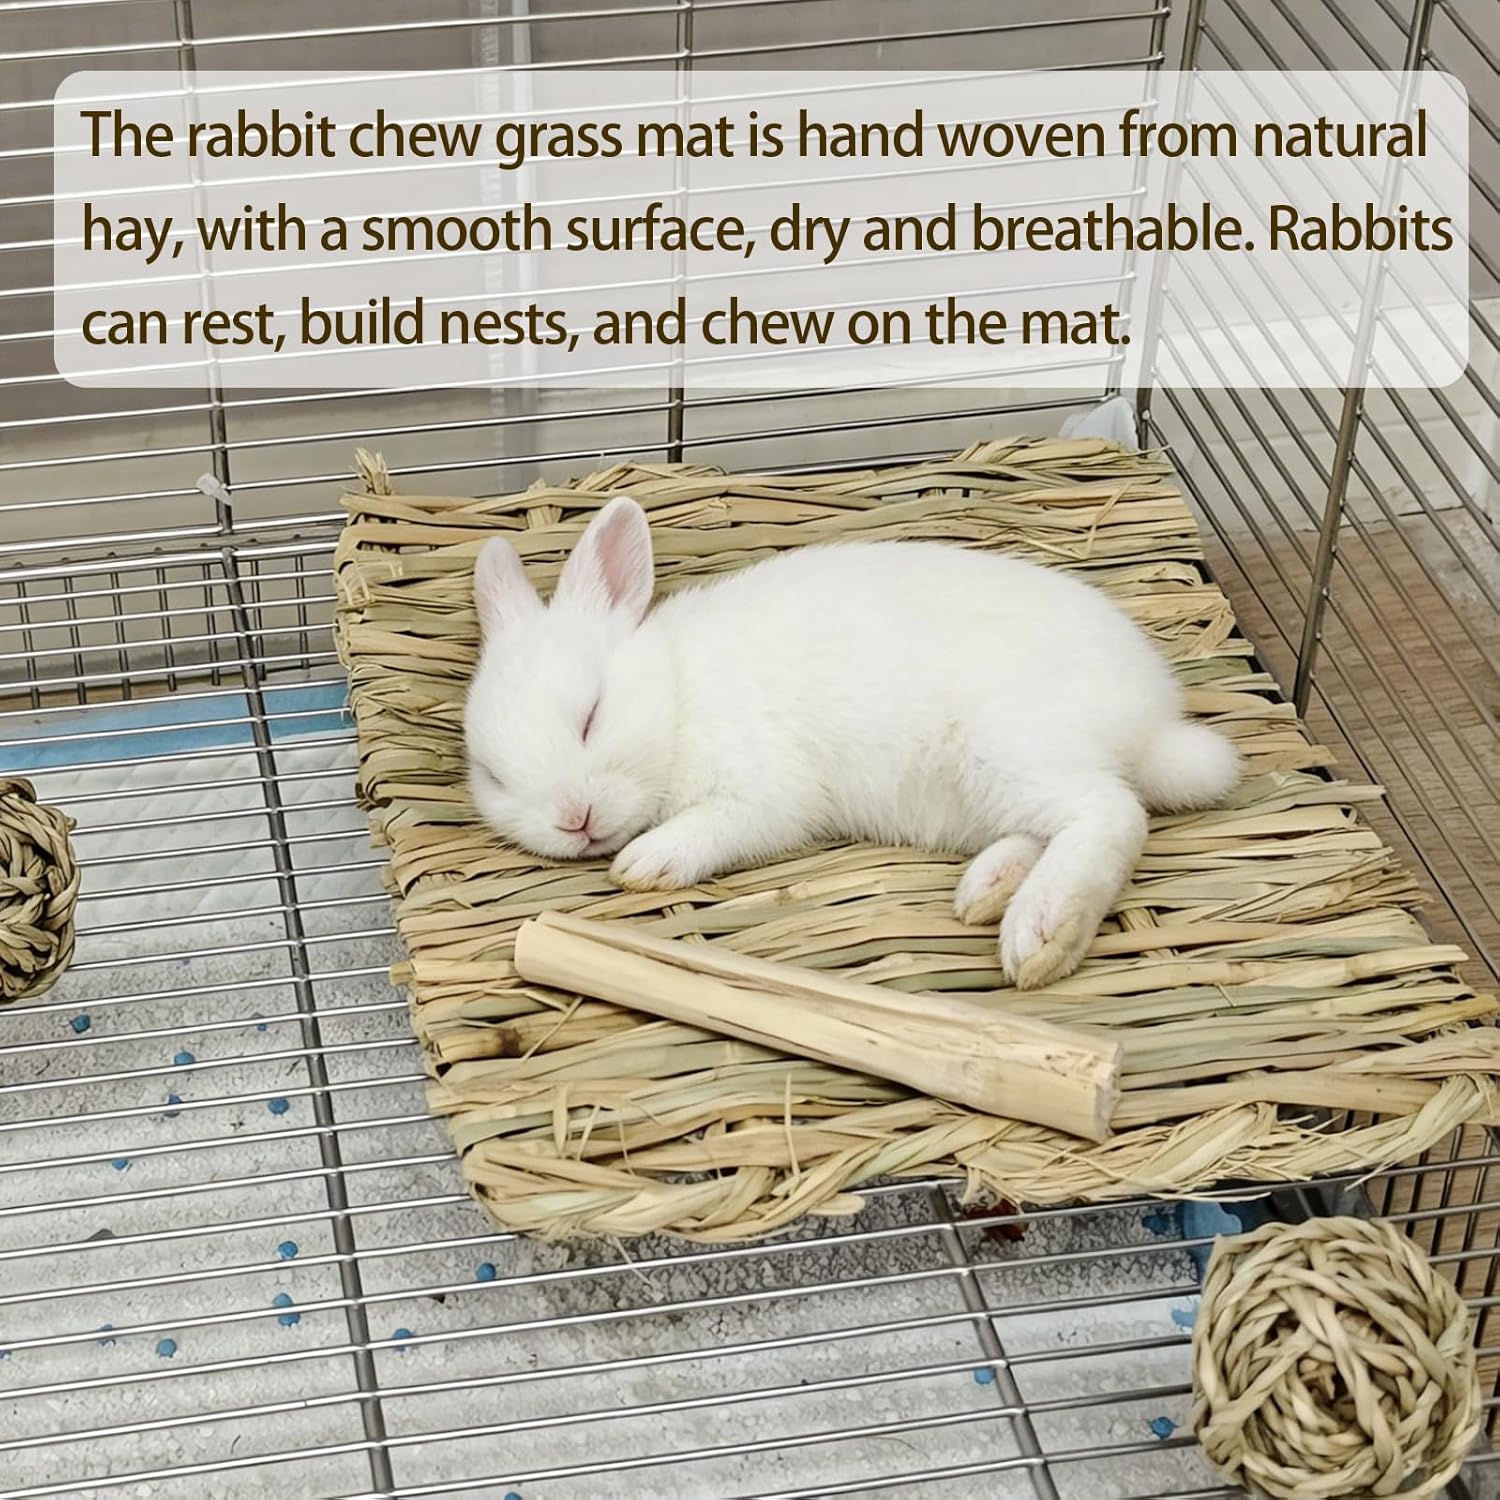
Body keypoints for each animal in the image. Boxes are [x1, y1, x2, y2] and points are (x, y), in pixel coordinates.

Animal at [464, 495, 1240, 989]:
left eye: (591, 717)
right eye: (495, 777)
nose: (575, 821)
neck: (679, 693)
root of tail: (1154, 721)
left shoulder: (764, 791)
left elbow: (717, 827)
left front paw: (646, 862)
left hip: (1011, 748)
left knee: (1111, 814)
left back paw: (1041, 933)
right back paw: (987, 890)